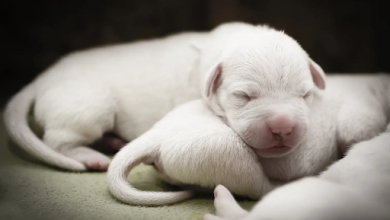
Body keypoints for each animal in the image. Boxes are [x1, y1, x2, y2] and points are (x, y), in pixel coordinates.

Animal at [3, 21, 328, 172]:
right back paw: (91, 157)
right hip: (88, 104)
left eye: (305, 94)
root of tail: (42, 78)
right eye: (243, 96)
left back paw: (113, 141)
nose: (283, 127)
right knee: (58, 141)